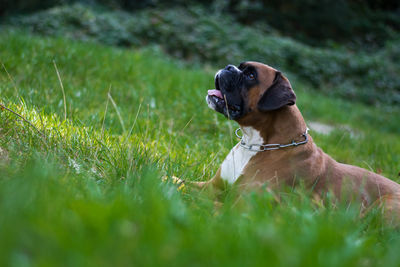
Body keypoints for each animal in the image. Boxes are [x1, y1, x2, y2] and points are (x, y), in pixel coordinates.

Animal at [191, 61, 400, 223]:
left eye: (250, 75)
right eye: (239, 67)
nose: (229, 67)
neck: (255, 143)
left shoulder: (241, 207)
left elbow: (201, 201)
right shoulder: (211, 186)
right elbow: (185, 183)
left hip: (384, 205)